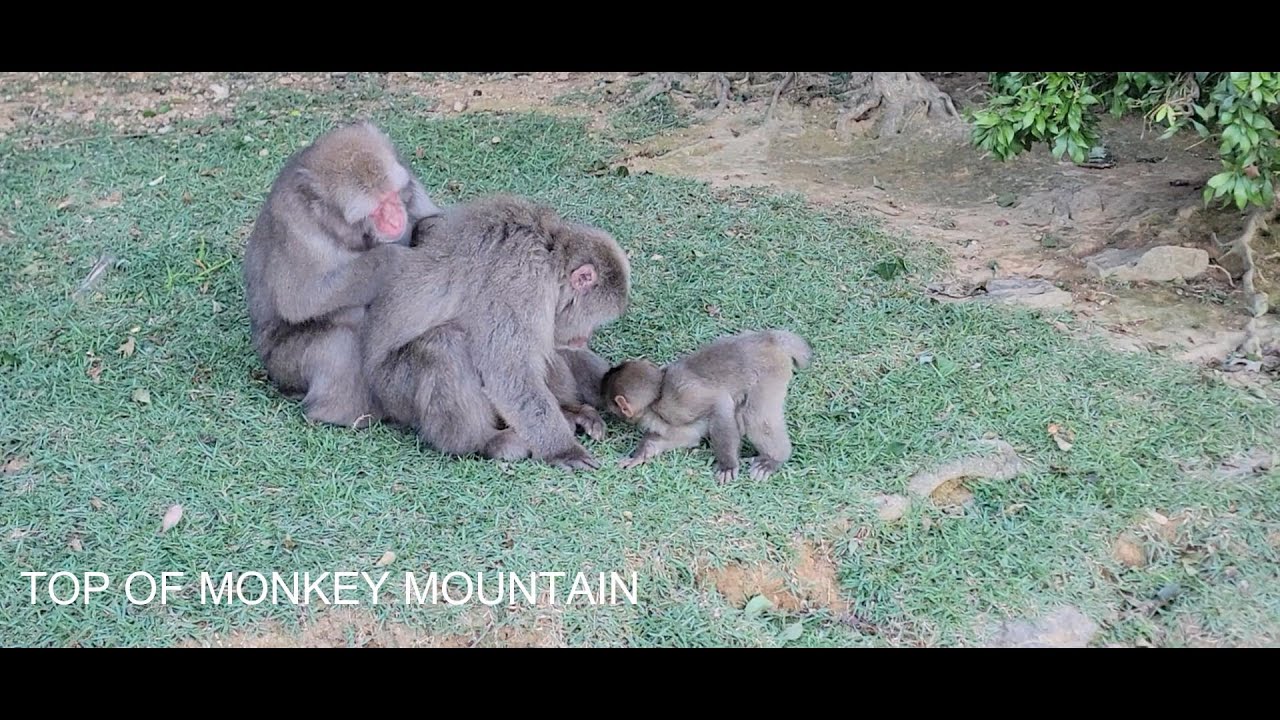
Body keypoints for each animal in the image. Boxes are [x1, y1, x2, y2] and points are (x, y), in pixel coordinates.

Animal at [243, 121, 442, 429]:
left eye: (392, 196)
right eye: (377, 209)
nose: (395, 218)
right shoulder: (296, 225)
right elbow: (300, 299)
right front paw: (393, 260)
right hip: (281, 362)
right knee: (341, 334)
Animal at [362, 195, 631, 470]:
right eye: (594, 321)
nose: (584, 338)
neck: (550, 260)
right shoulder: (521, 283)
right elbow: (509, 373)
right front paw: (564, 450)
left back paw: (571, 411)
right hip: (395, 389)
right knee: (443, 344)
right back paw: (485, 442)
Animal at [601, 329, 811, 484]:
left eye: (611, 407)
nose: (608, 413)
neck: (656, 398)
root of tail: (769, 338)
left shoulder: (678, 402)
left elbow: (719, 403)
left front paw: (727, 465)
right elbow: (688, 437)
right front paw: (640, 454)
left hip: (770, 370)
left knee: (754, 416)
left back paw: (774, 459)